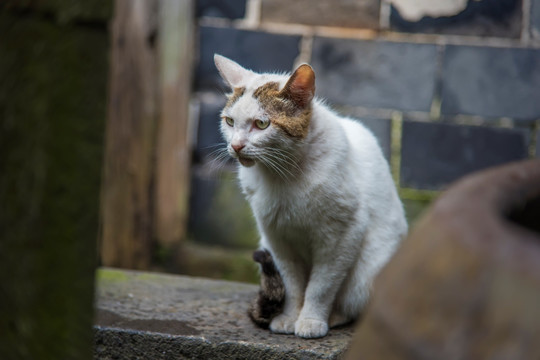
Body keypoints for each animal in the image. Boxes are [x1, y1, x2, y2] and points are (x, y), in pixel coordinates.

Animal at [213, 53, 408, 338]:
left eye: (262, 124)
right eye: (229, 121)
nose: (236, 146)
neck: (283, 175)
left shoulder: (341, 237)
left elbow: (321, 286)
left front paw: (311, 321)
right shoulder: (277, 239)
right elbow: (292, 284)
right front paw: (288, 318)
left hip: (369, 273)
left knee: (354, 304)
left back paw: (335, 317)